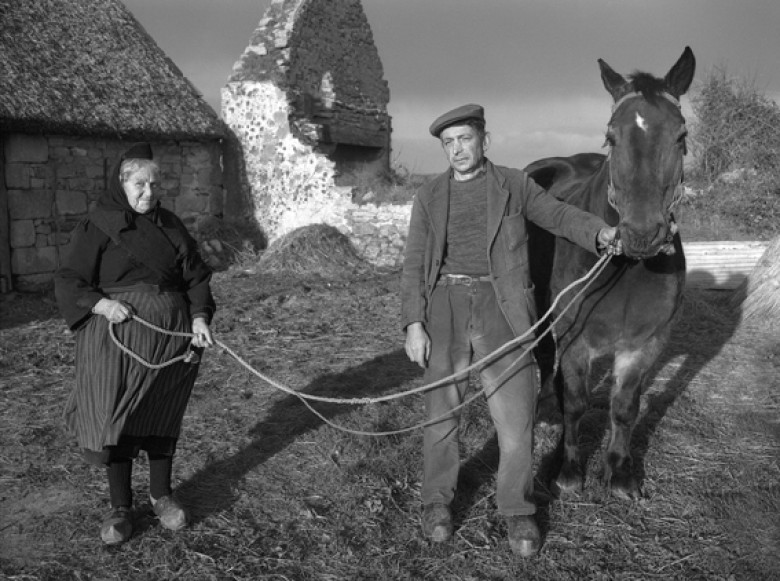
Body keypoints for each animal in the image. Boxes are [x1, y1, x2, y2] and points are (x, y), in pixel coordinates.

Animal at [528, 47, 696, 496]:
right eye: (611, 137)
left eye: (681, 137)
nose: (641, 234)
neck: (625, 267)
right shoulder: (573, 338)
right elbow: (576, 403)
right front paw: (569, 469)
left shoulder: (646, 343)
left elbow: (624, 407)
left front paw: (619, 470)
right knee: (545, 359)